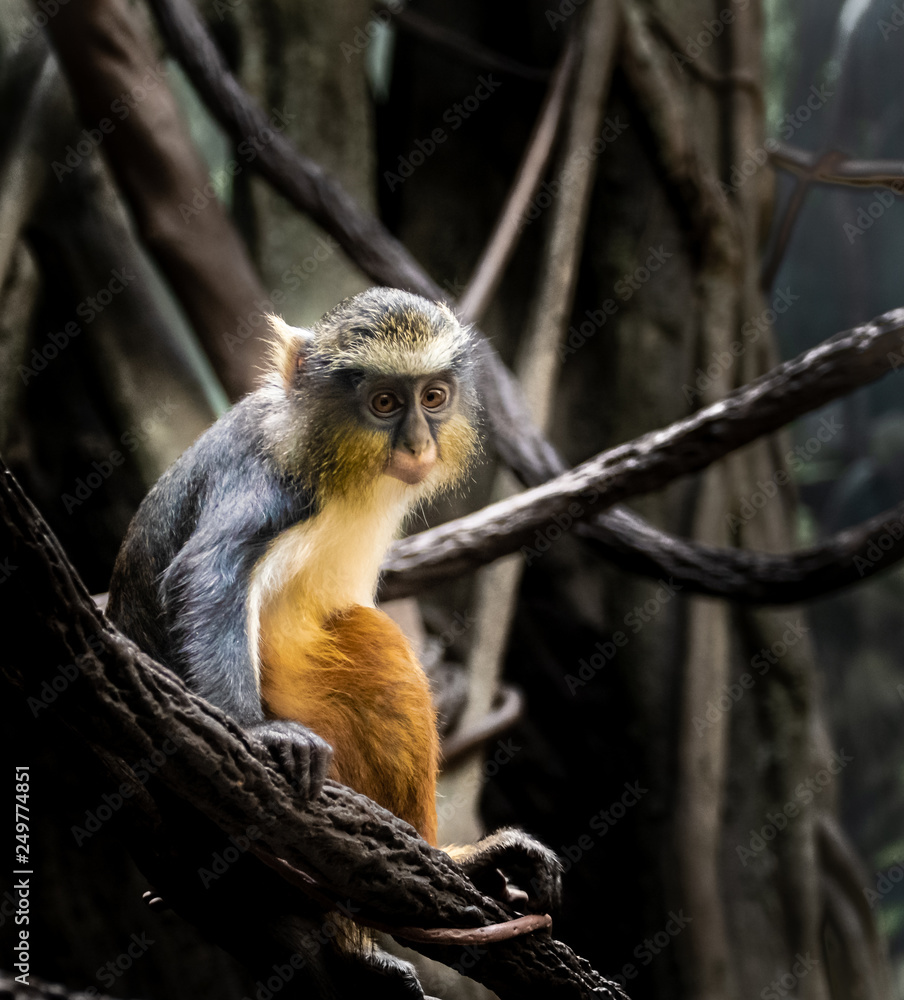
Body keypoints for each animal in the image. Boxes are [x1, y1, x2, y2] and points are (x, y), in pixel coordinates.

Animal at [106, 287, 560, 990]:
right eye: (384, 403)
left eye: (433, 397)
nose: (417, 442)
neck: (332, 454)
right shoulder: (270, 480)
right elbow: (206, 571)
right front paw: (258, 735)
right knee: (375, 638)